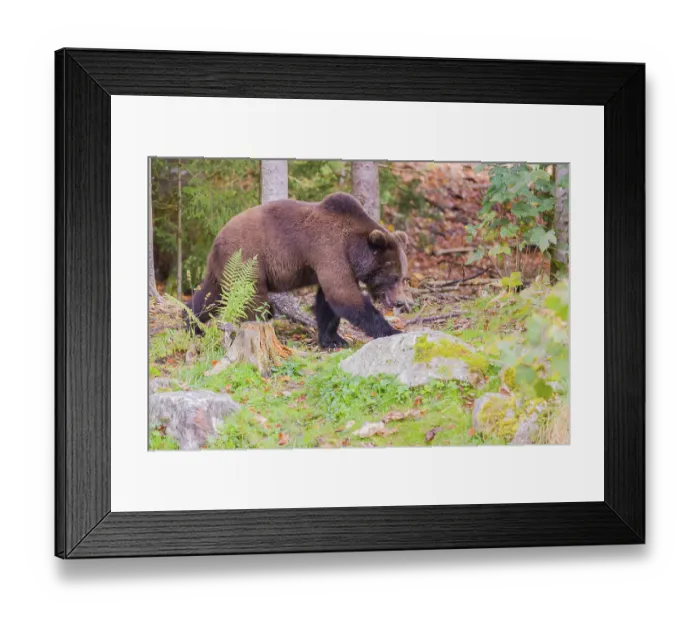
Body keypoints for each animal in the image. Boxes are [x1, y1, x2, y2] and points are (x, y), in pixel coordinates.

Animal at [189, 192, 413, 349]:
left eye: (403, 278)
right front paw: (392, 331)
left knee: (208, 297)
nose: (400, 302)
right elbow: (344, 296)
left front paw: (332, 339)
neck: (353, 248)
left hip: (224, 269)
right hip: (247, 260)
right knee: (251, 300)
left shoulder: (333, 261)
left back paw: (191, 324)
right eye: (393, 277)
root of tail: (217, 239)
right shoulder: (329, 250)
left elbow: (327, 302)